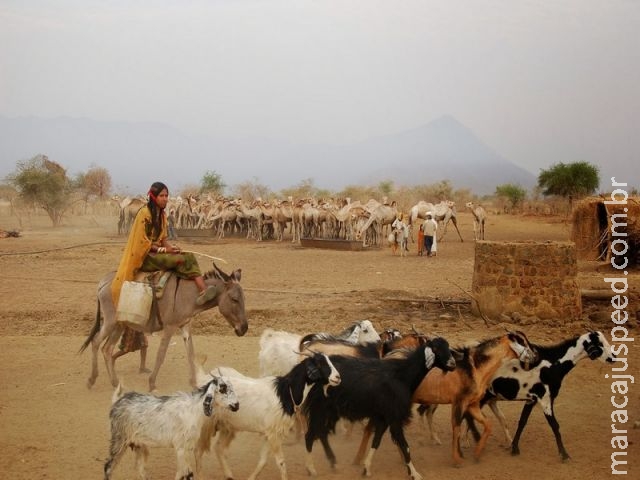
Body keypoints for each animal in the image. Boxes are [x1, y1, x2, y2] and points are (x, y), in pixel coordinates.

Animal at [104, 376, 239, 480]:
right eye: (222, 389)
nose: (237, 405)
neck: (194, 409)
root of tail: (118, 401)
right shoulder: (180, 448)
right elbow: (188, 474)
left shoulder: (187, 448)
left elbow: (180, 474)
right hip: (119, 440)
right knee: (108, 467)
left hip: (139, 445)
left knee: (140, 469)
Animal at [201, 350, 342, 480]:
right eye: (319, 363)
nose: (338, 377)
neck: (285, 393)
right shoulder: (274, 434)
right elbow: (281, 462)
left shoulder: (269, 433)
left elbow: (263, 460)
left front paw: (251, 478)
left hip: (228, 427)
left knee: (219, 448)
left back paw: (229, 475)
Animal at [304, 338, 458, 480]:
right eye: (436, 348)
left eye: (447, 346)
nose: (452, 364)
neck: (402, 375)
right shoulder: (394, 417)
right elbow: (405, 445)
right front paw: (414, 473)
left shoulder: (383, 417)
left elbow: (376, 441)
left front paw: (366, 468)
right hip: (319, 408)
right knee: (310, 435)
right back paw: (311, 469)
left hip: (329, 411)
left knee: (322, 434)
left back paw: (333, 464)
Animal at [480, 330, 616, 462]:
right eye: (599, 344)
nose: (614, 357)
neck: (553, 364)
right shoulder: (545, 399)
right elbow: (555, 425)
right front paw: (564, 455)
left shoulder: (531, 399)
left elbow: (522, 421)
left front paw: (514, 448)